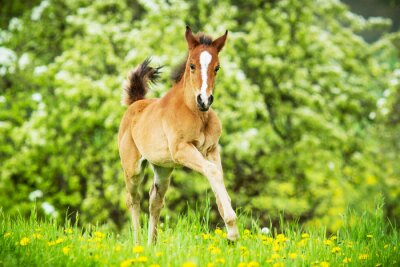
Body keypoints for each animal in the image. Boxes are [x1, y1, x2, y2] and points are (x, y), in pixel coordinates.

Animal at [117, 25, 239, 245]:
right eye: (192, 65)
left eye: (217, 68)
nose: (204, 100)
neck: (197, 114)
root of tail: (135, 103)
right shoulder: (182, 149)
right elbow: (213, 172)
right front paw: (233, 230)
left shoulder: (211, 149)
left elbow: (217, 176)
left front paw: (231, 232)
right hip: (132, 168)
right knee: (133, 199)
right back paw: (138, 244)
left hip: (163, 168)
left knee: (155, 200)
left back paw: (152, 245)